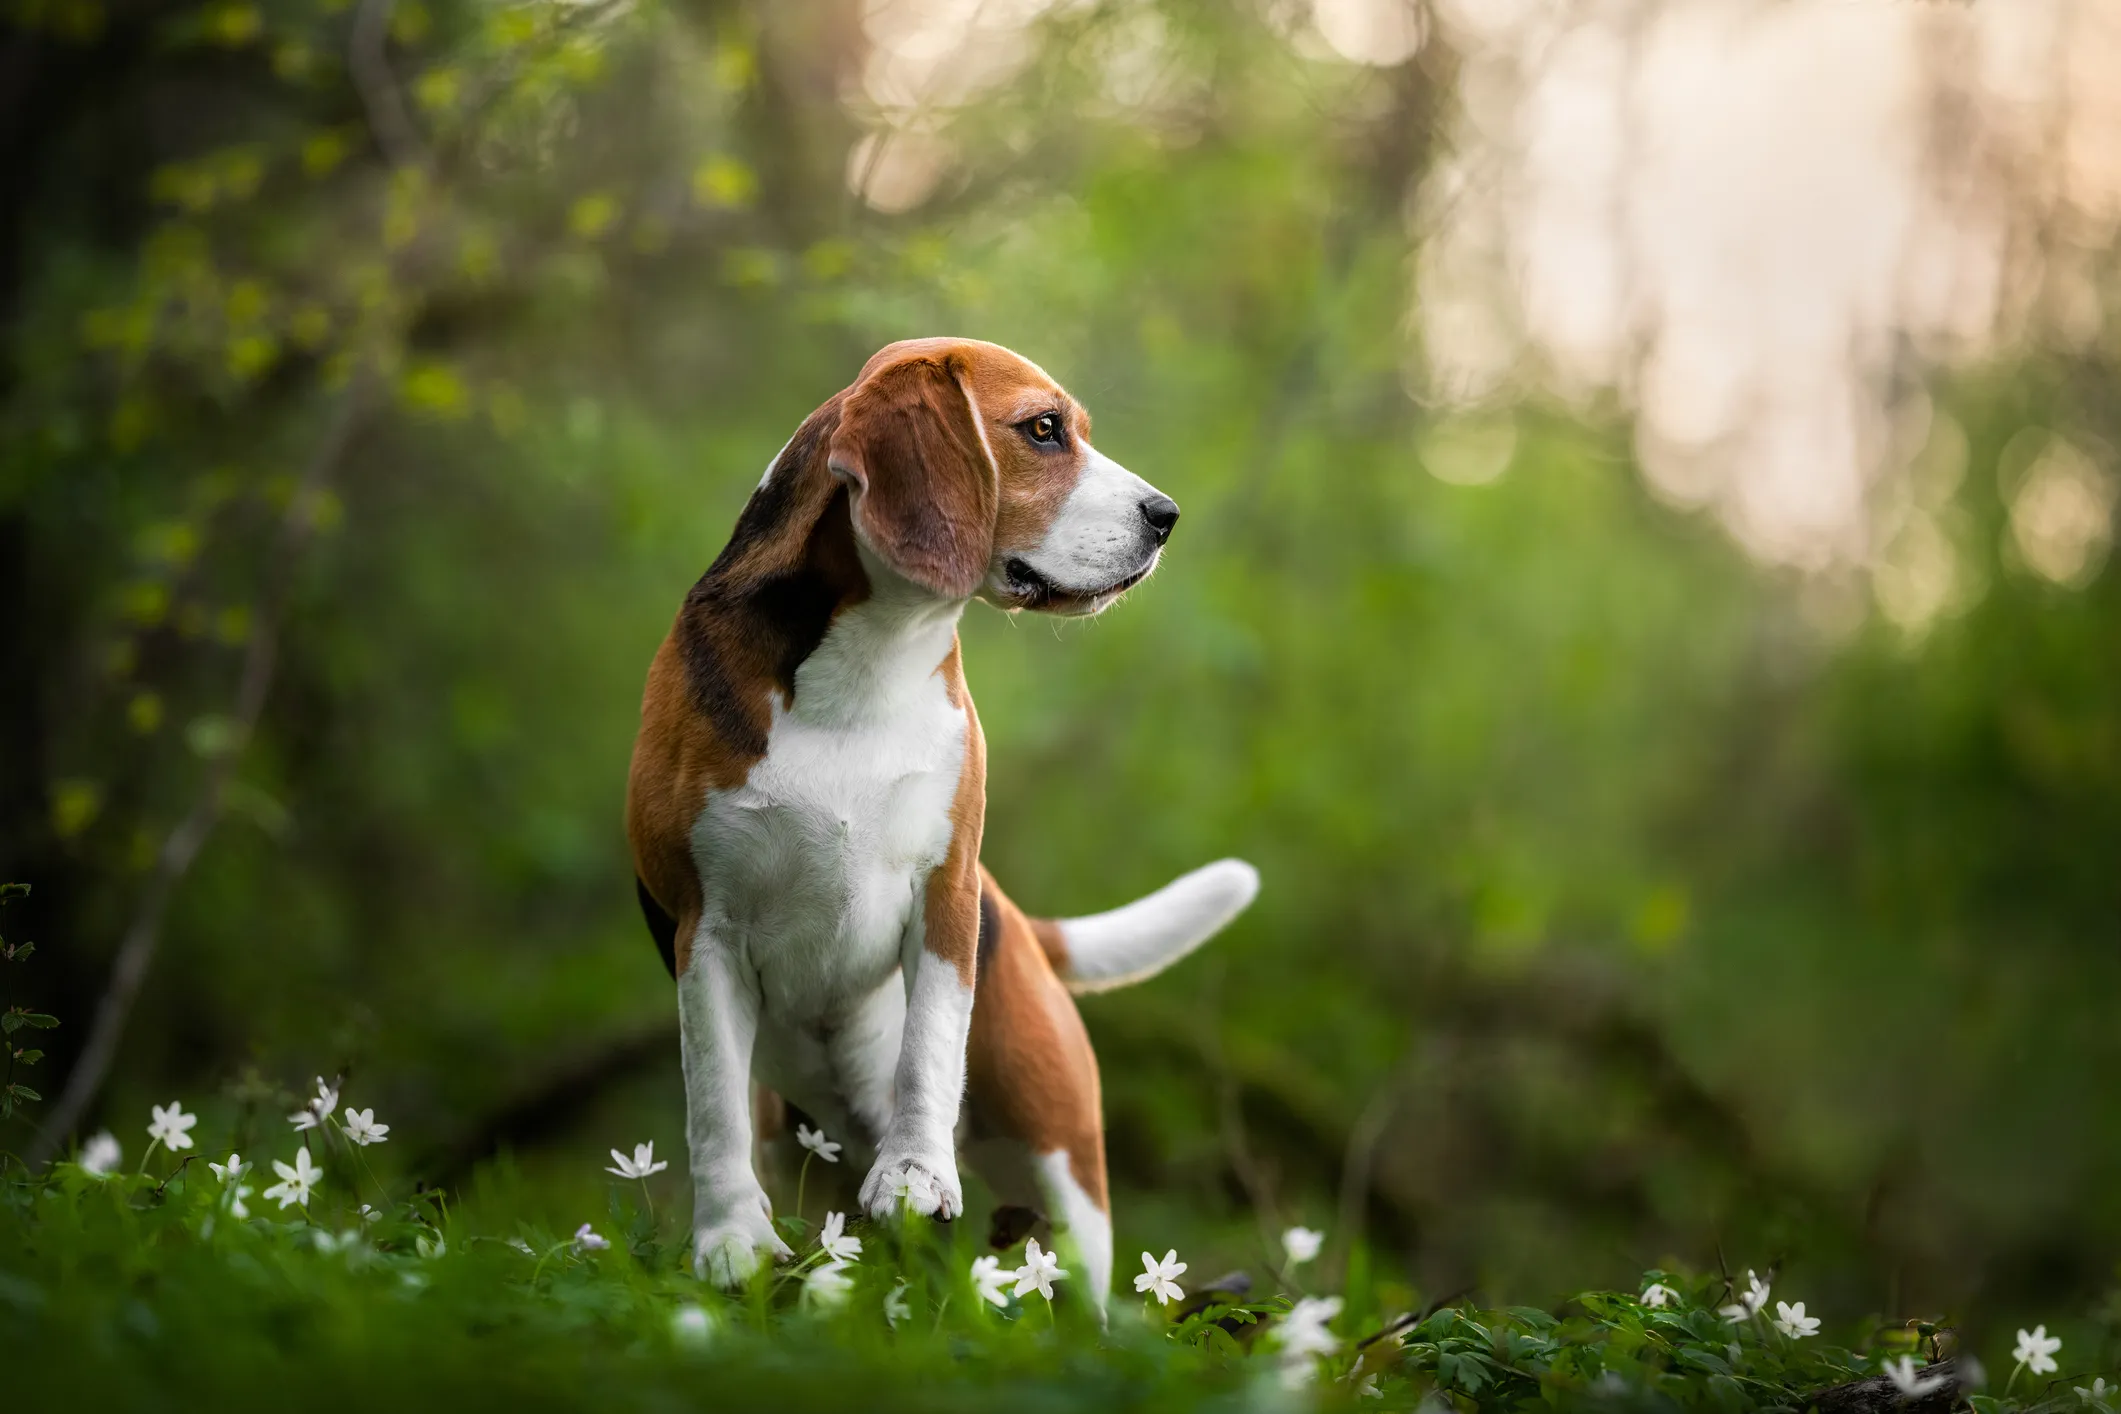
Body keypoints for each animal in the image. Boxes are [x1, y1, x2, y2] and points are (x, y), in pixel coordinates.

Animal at [623, 337, 1255, 1314]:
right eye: (1043, 429)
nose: (1165, 517)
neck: (873, 656)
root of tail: (1020, 926)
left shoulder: (948, 894)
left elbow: (926, 1049)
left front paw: (916, 1174)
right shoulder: (708, 931)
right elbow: (712, 1103)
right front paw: (730, 1243)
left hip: (1066, 1164)